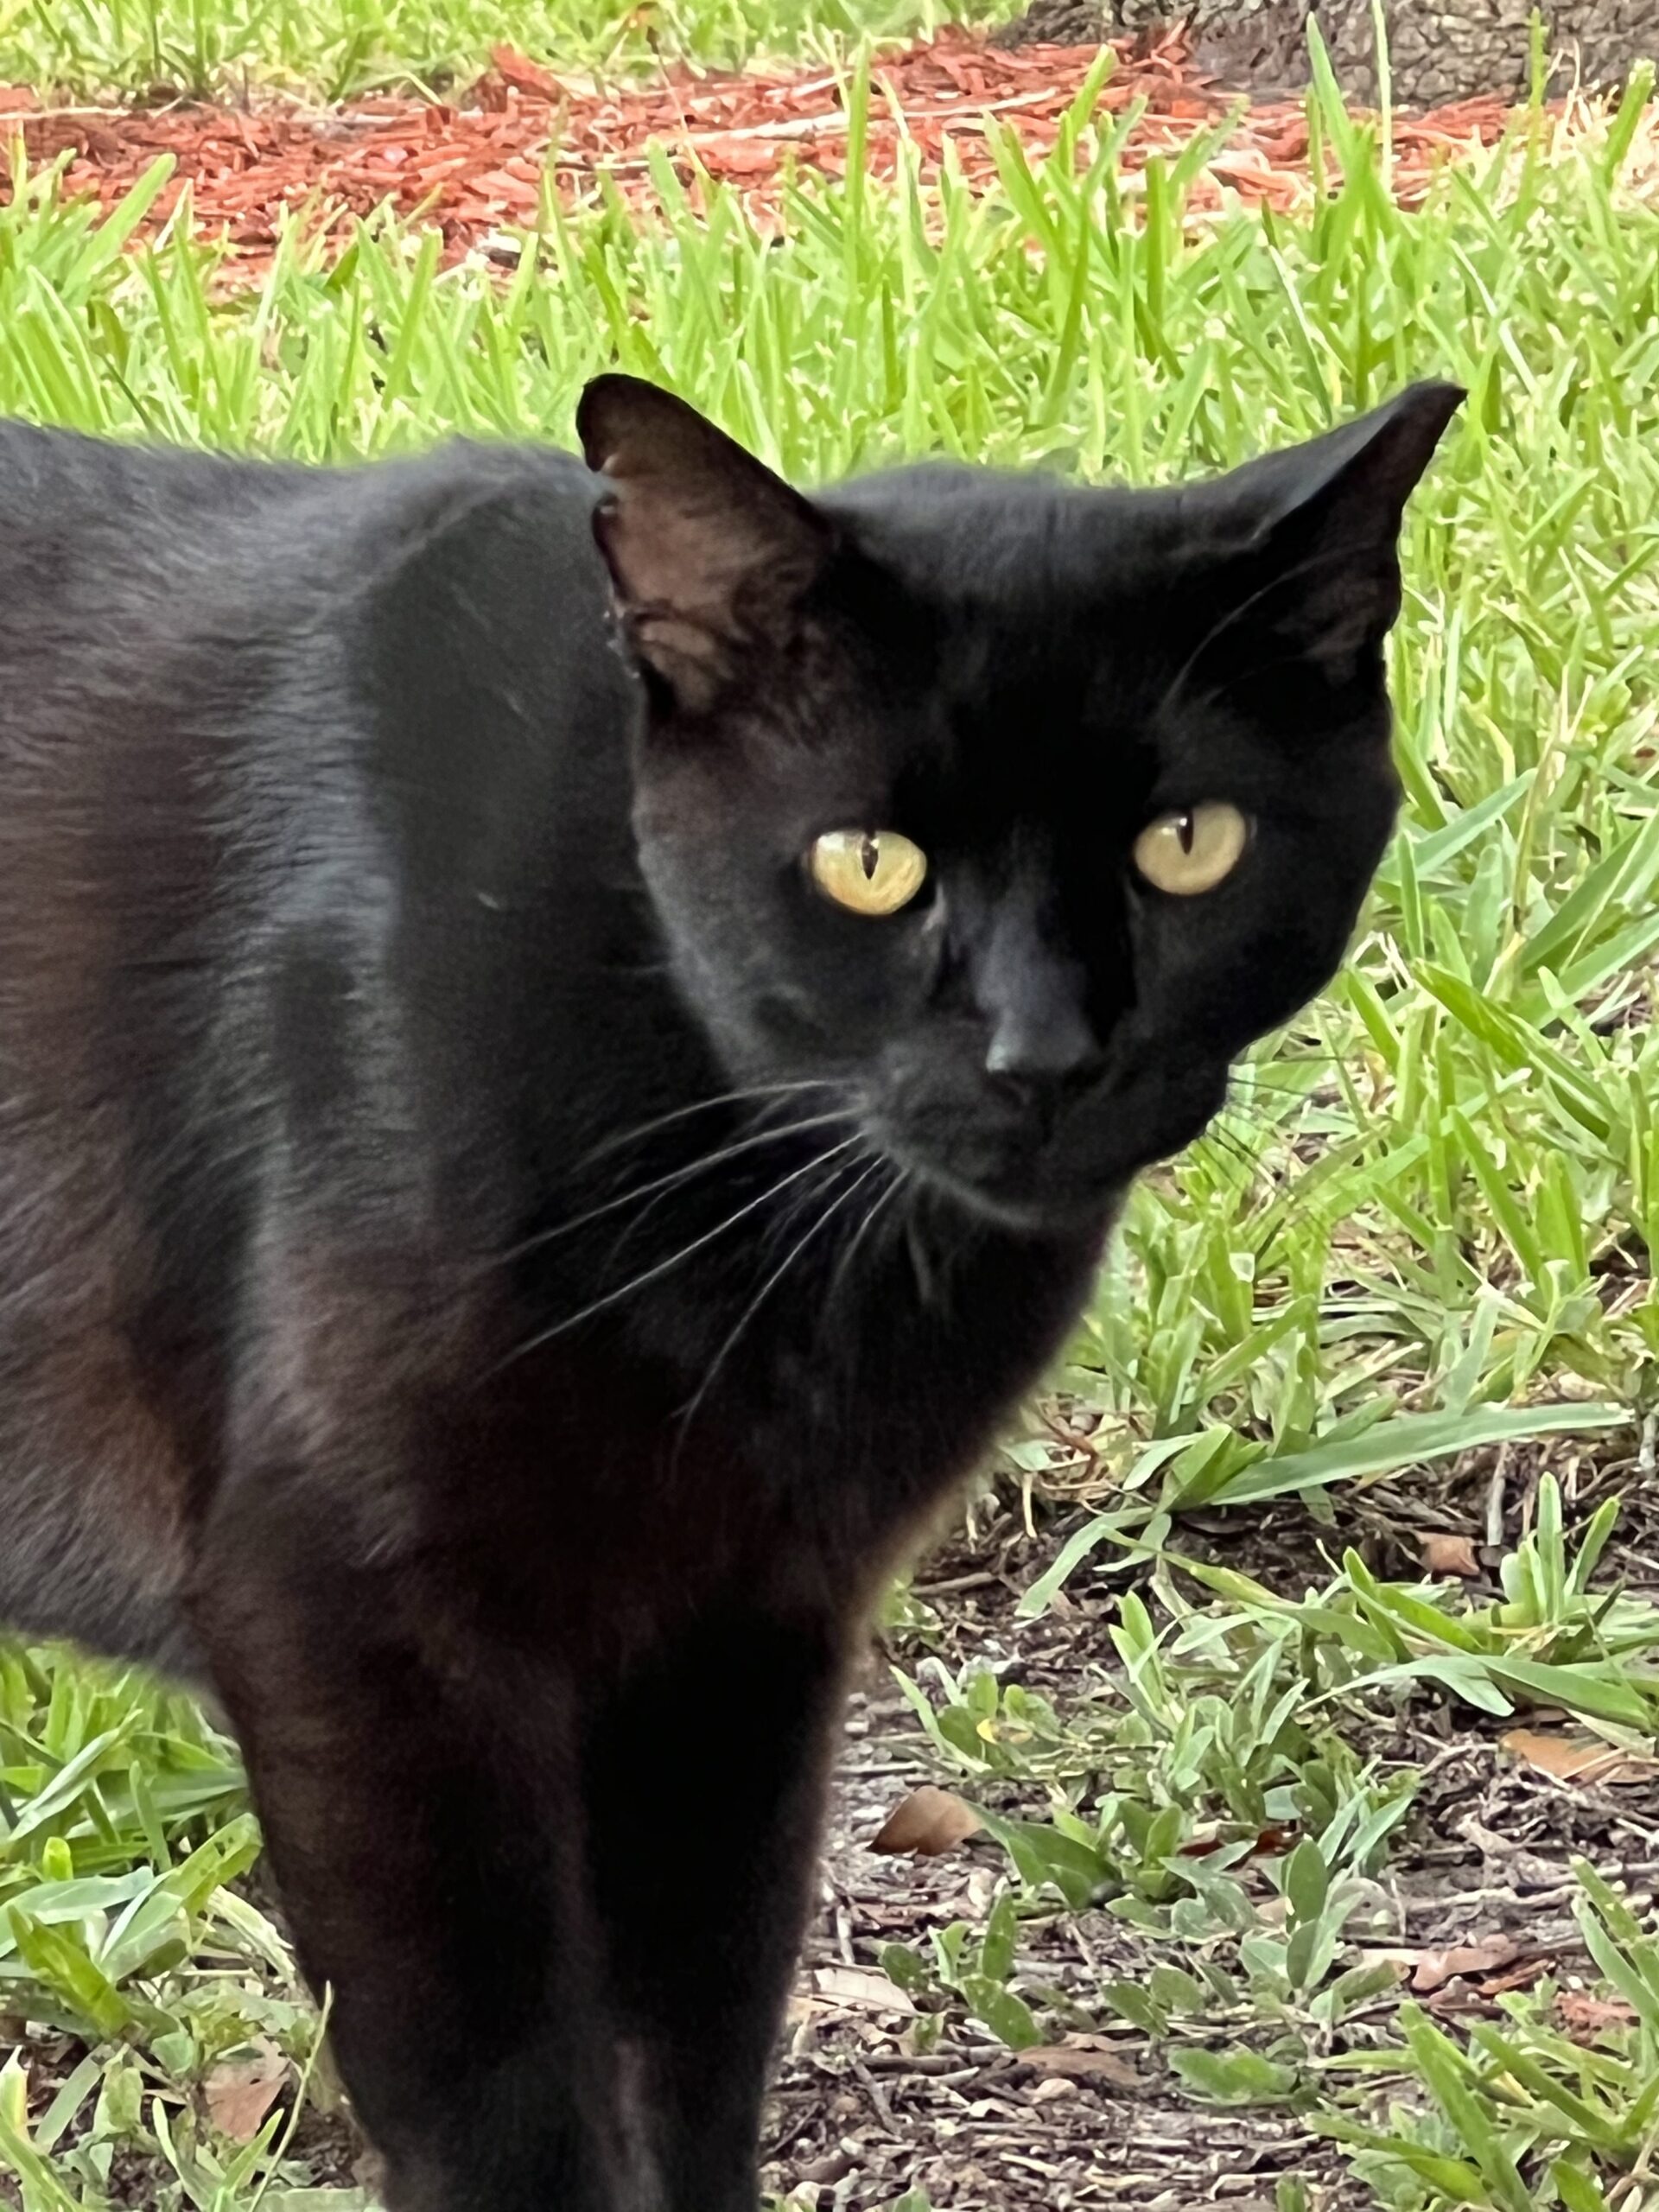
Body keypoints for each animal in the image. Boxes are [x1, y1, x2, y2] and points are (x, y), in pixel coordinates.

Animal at [0, 371, 1458, 2210]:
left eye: (1188, 845)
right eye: (867, 865)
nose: (1045, 1054)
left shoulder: (736, 1640)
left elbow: (688, 2062)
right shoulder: (358, 1630)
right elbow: (505, 2114)